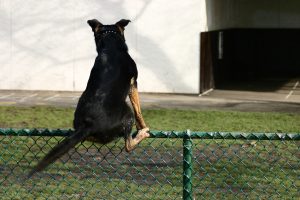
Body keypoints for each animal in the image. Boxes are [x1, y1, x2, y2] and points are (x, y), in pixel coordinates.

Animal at [27, 18, 149, 177]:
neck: (110, 46)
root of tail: (88, 124)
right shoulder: (134, 83)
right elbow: (138, 110)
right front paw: (143, 125)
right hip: (127, 113)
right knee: (128, 145)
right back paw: (142, 134)